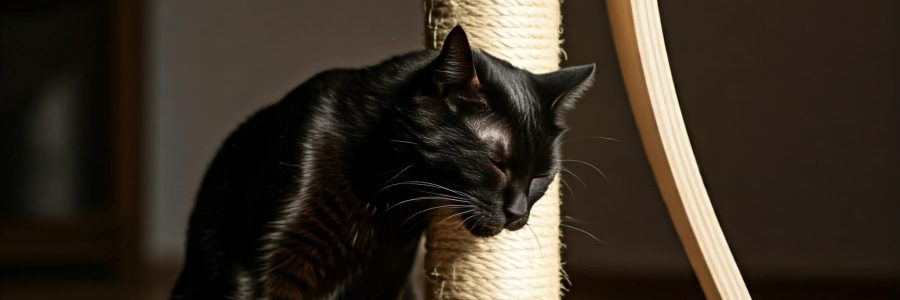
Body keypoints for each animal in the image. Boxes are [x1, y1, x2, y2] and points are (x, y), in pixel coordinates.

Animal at [171, 26, 596, 300]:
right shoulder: (260, 271)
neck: (385, 191)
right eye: (498, 164)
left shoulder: (386, 277)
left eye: (541, 175)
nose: (518, 214)